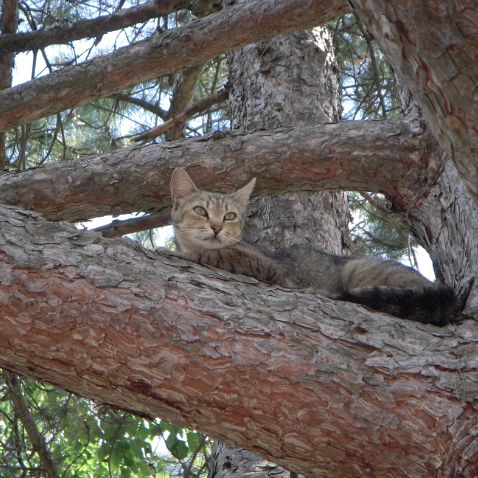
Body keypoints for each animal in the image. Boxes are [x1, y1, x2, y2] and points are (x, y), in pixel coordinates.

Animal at [170, 166, 458, 326]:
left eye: (230, 216)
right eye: (200, 211)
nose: (216, 227)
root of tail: (442, 290)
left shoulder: (265, 265)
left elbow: (218, 255)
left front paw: (180, 252)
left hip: (359, 270)